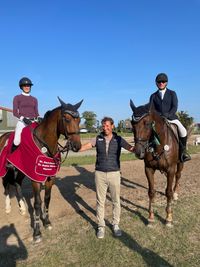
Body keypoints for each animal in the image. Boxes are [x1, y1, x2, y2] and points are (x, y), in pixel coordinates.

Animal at [0, 98, 83, 243]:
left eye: (78, 120)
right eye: (67, 119)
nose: (77, 146)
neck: (45, 145)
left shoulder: (50, 177)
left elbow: (47, 199)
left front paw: (47, 222)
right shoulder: (35, 179)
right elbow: (38, 203)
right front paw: (37, 232)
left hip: (20, 171)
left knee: (17, 184)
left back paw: (22, 208)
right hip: (5, 170)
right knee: (6, 185)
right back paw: (8, 208)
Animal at [130, 100, 184, 228]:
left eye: (147, 123)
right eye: (132, 124)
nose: (138, 152)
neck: (159, 145)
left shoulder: (170, 169)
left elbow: (168, 192)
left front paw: (168, 218)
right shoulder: (149, 169)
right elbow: (151, 192)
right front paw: (150, 217)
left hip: (179, 164)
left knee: (178, 176)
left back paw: (175, 194)